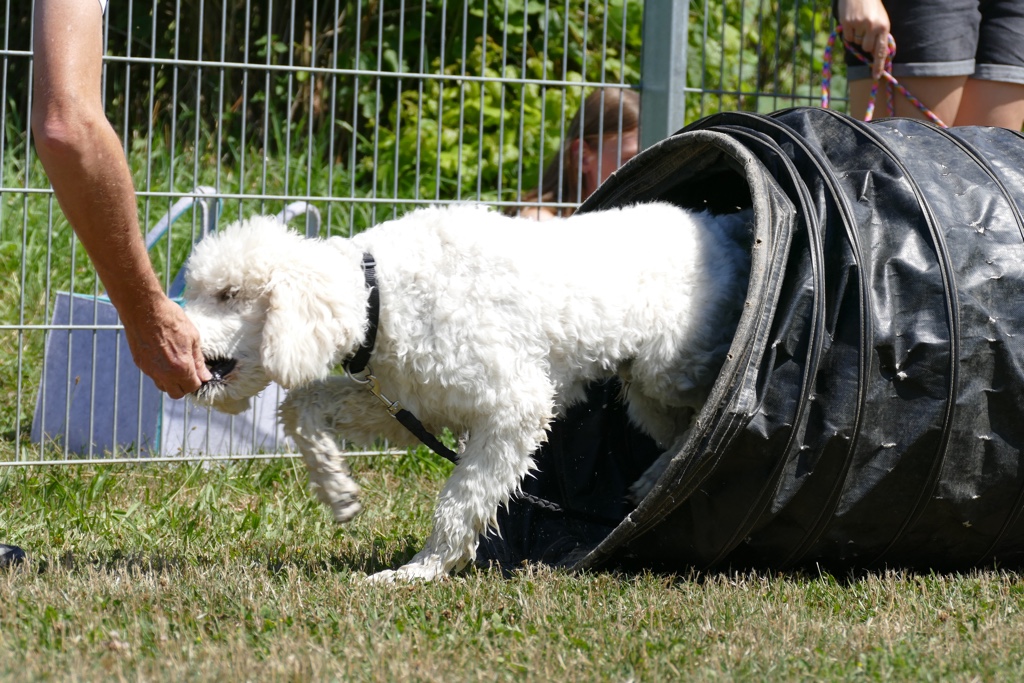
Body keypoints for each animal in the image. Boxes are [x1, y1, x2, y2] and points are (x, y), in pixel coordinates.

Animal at [184, 202, 752, 581]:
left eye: (229, 294)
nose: (180, 337)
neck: (384, 294)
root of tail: (723, 227)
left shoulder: (515, 409)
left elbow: (462, 498)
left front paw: (421, 570)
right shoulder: (408, 403)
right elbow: (300, 407)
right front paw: (337, 492)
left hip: (669, 369)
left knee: (702, 413)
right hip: (646, 387)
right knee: (678, 429)